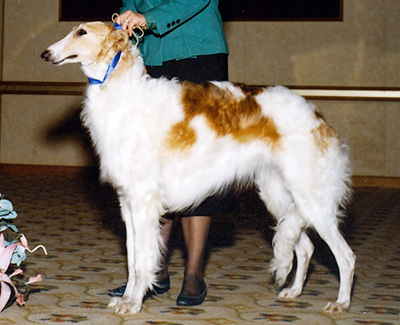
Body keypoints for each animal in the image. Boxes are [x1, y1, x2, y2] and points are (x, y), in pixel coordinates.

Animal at [41, 22, 356, 314]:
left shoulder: (144, 201)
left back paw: (341, 303)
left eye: (81, 32)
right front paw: (127, 298)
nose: (45, 54)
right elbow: (132, 258)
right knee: (306, 248)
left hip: (311, 199)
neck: (124, 92)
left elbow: (142, 261)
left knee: (346, 256)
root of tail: (318, 117)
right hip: (279, 196)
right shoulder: (127, 202)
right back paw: (294, 291)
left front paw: (133, 303)